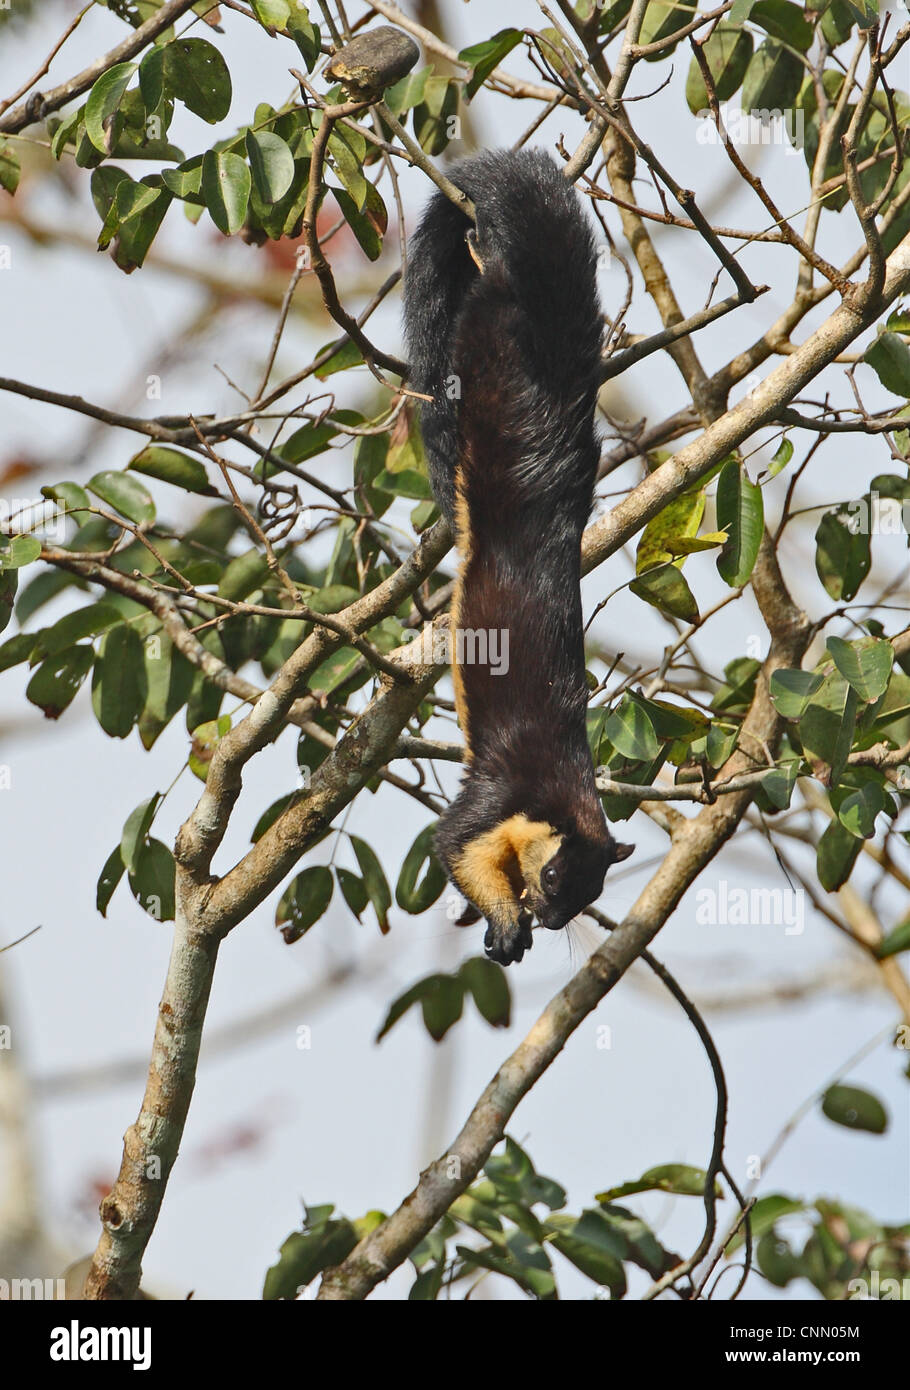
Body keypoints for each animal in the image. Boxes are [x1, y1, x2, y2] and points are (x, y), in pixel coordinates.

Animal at [404, 148, 633, 967]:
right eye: (559, 874)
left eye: (592, 894)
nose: (557, 917)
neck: (559, 786)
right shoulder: (496, 794)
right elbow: (453, 843)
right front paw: (505, 924)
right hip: (484, 337)